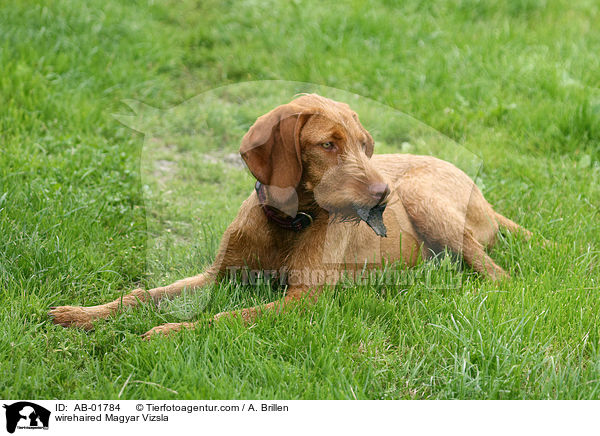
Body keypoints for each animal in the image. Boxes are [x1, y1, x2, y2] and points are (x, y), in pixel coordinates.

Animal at [50, 93, 528, 338]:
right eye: (328, 144)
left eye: (363, 144)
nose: (382, 196)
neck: (287, 224)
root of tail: (486, 199)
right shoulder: (217, 275)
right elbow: (142, 295)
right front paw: (81, 314)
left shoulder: (304, 299)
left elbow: (227, 317)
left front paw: (171, 332)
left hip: (423, 196)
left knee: (496, 274)